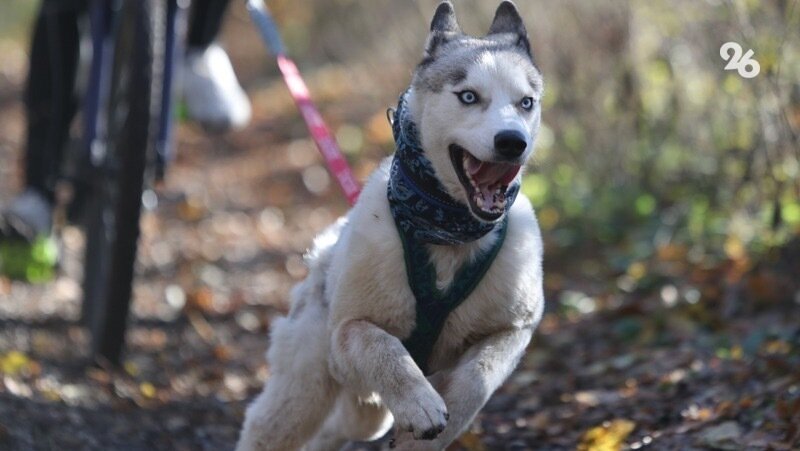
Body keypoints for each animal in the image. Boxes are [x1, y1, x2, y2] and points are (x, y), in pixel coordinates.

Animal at [236, 1, 544, 450]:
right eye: (469, 96)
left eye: (526, 102)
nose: (512, 142)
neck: (448, 230)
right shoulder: (347, 333)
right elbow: (381, 346)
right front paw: (420, 404)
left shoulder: (513, 329)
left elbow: (478, 376)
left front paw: (436, 426)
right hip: (304, 385)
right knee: (268, 425)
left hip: (365, 412)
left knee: (340, 429)